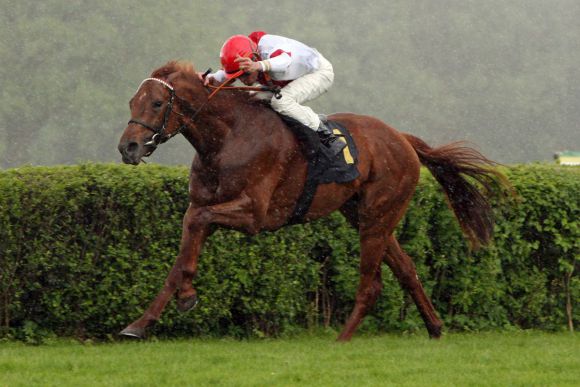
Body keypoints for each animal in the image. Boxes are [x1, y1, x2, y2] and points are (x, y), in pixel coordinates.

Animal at [119, 59, 508, 342]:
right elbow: (183, 248)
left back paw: (342, 340)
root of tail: (402, 138)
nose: (128, 147)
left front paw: (186, 296)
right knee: (407, 269)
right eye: (132, 102)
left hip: (377, 215)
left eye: (157, 103)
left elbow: (197, 223)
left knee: (372, 284)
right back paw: (435, 328)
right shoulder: (205, 206)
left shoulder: (254, 215)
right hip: (366, 215)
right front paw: (141, 322)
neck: (227, 137)